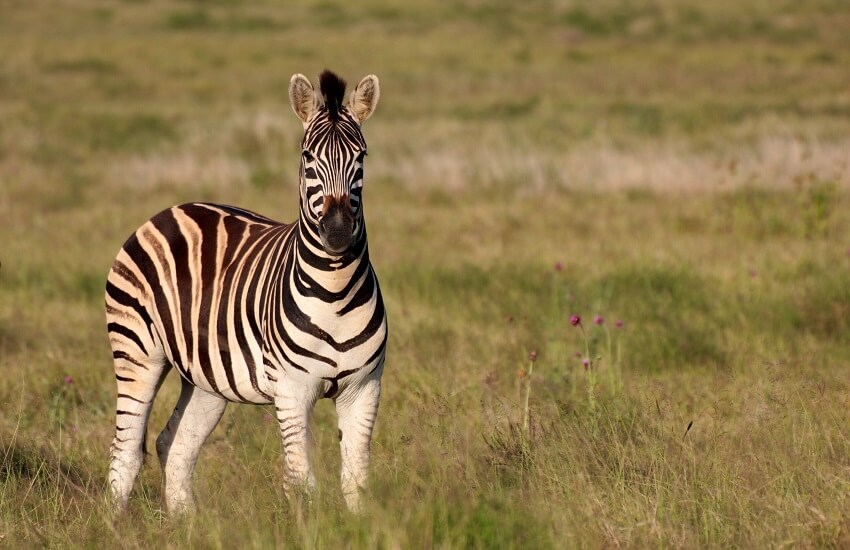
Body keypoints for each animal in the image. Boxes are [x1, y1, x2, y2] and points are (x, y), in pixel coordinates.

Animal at [104, 71, 386, 516]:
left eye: (361, 157)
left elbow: (356, 479)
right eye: (307, 157)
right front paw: (305, 526)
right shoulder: (292, 389)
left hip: (205, 377)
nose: (338, 232)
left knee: (174, 444)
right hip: (137, 352)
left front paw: (360, 526)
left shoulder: (364, 388)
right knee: (127, 449)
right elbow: (300, 481)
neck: (336, 295)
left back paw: (186, 523)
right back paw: (115, 523)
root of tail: (171, 209)